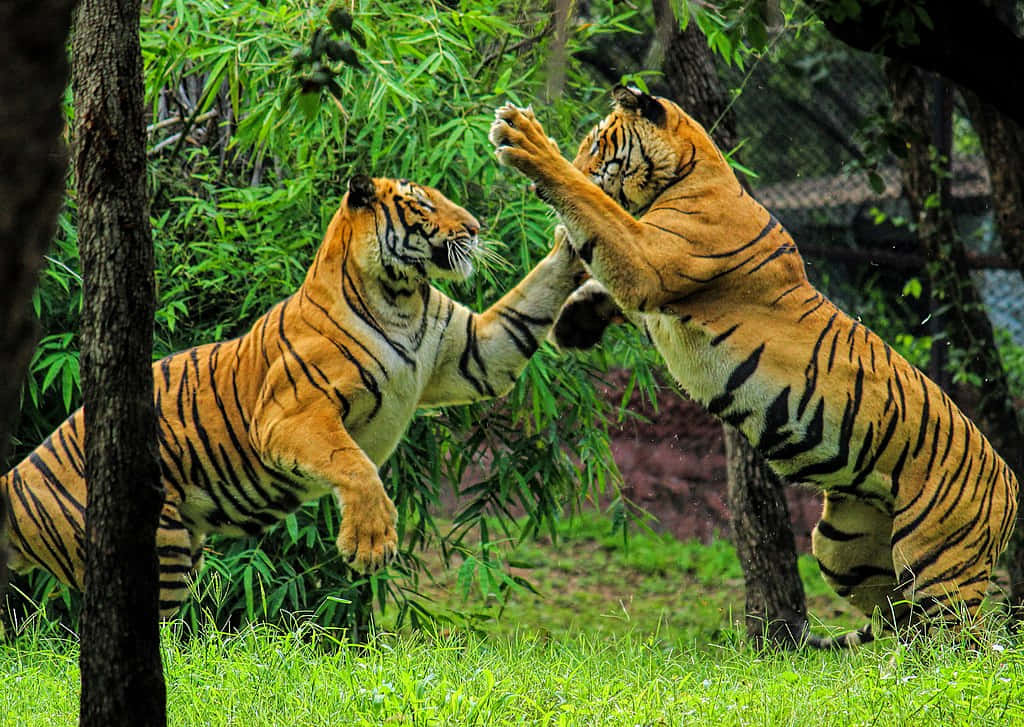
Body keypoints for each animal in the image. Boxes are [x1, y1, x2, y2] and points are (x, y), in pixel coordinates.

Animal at [4, 176, 585, 622]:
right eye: (422, 203)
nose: (476, 228)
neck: (402, 297)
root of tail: (16, 477)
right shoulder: (291, 414)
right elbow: (352, 463)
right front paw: (369, 544)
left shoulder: (474, 354)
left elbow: (529, 303)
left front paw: (572, 239)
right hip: (154, 548)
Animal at [487, 85, 1015, 651]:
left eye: (596, 145)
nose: (579, 161)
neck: (691, 173)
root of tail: (1011, 485)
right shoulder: (649, 276)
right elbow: (602, 274)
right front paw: (574, 323)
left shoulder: (650, 259)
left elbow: (595, 209)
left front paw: (527, 142)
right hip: (844, 548)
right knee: (902, 623)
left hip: (939, 564)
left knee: (963, 643)